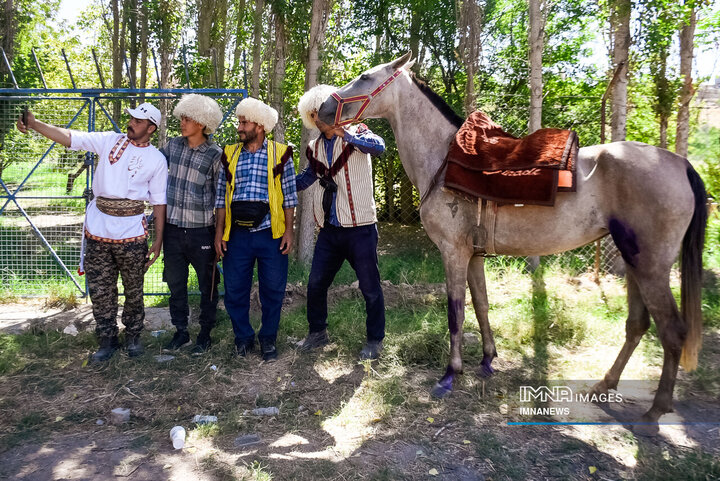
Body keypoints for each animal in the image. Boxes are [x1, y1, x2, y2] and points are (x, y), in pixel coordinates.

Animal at [320, 52, 708, 426]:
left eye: (365, 77)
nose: (323, 109)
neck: (443, 162)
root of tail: (681, 164)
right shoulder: (474, 255)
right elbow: (481, 305)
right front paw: (488, 360)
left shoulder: (453, 252)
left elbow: (455, 312)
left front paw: (450, 375)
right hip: (634, 263)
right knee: (637, 325)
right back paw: (604, 386)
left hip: (651, 267)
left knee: (672, 332)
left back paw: (654, 412)